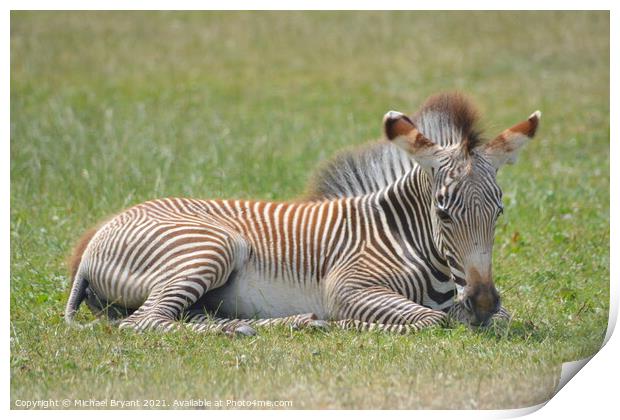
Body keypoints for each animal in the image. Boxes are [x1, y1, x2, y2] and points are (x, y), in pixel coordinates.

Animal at [63, 92, 536, 334]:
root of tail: (93, 243)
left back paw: (279, 323)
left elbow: (495, 317)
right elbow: (428, 321)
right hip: (211, 246)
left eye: (498, 213)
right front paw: (349, 326)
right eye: (443, 213)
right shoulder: (346, 287)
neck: (401, 235)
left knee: (178, 315)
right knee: (143, 323)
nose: (482, 301)